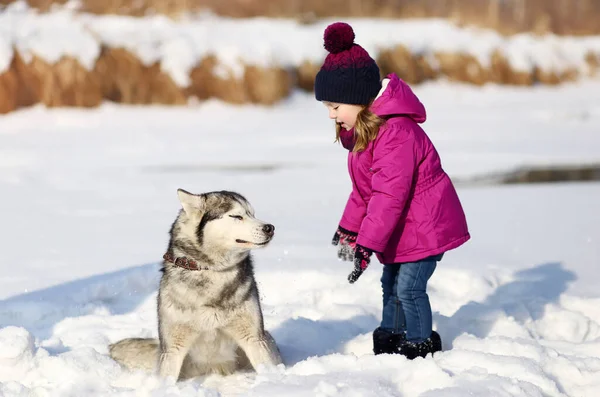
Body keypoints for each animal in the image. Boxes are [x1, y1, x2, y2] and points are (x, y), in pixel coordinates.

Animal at [109, 189, 282, 380]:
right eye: (237, 216)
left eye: (252, 214)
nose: (270, 227)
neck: (212, 270)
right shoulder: (172, 349)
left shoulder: (255, 339)